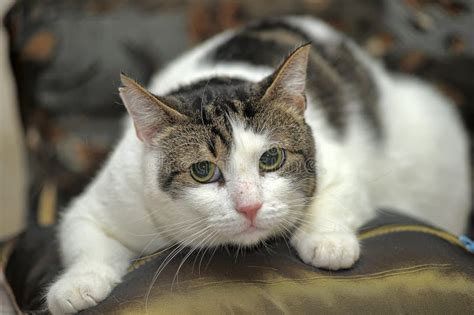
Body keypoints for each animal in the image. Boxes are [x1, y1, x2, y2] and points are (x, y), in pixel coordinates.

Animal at [45, 16, 470, 314]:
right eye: (202, 171)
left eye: (271, 158)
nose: (249, 206)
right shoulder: (109, 198)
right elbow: (84, 237)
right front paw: (75, 286)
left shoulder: (343, 167)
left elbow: (336, 197)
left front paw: (327, 242)